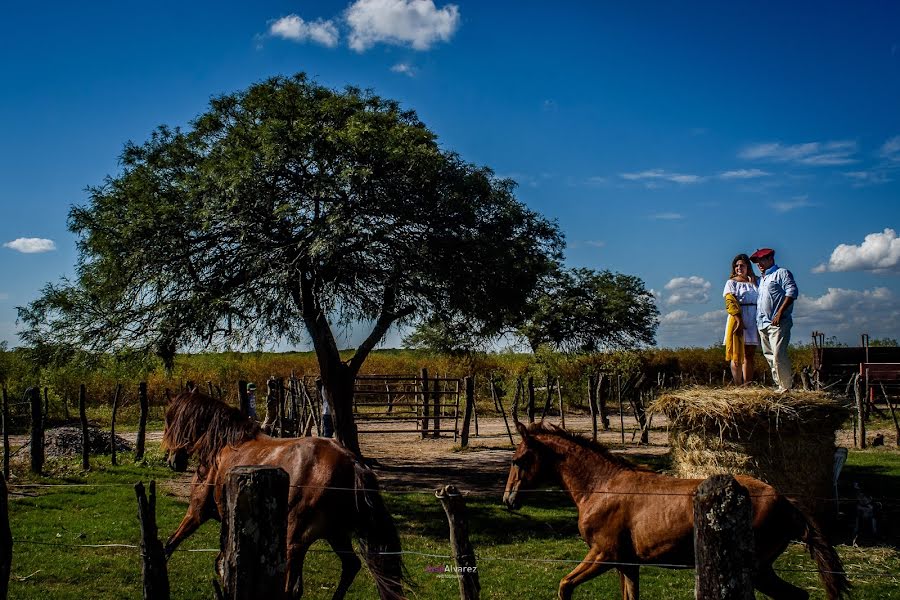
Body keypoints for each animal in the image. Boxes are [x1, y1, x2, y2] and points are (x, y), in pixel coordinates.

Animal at [163, 390, 408, 600]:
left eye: (169, 419)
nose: (173, 461)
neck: (223, 445)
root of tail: (352, 463)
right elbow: (220, 563)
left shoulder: (196, 513)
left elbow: (170, 545)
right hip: (334, 533)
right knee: (350, 566)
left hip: (296, 539)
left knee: (292, 589)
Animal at [502, 422, 848, 600]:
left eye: (518, 460)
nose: (508, 500)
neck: (601, 487)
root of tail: (788, 502)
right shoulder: (627, 564)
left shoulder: (603, 555)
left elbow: (565, 586)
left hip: (757, 570)